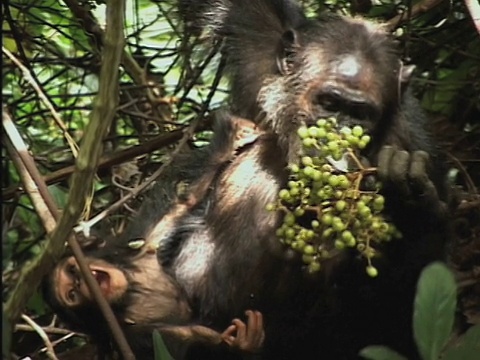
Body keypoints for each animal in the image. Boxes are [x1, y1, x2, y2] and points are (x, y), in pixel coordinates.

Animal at [164, 1, 450, 358]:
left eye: (360, 114)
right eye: (329, 103)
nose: (336, 138)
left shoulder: (416, 145)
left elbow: (400, 326)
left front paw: (409, 201)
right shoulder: (260, 37)